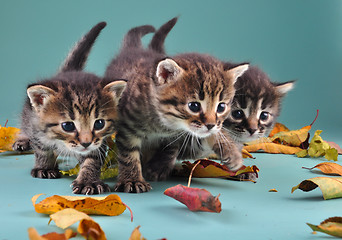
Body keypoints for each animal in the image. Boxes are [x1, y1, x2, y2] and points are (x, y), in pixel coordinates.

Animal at [13, 22, 127, 195]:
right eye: (67, 126)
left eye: (99, 123)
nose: (86, 143)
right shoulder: (37, 127)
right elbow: (41, 148)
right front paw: (44, 167)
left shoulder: (98, 142)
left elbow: (92, 159)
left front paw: (88, 181)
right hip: (29, 114)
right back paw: (23, 140)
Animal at [104, 21, 248, 192]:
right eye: (194, 106)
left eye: (221, 107)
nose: (211, 125)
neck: (164, 125)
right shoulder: (127, 128)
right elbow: (128, 154)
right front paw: (132, 180)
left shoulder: (181, 133)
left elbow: (172, 147)